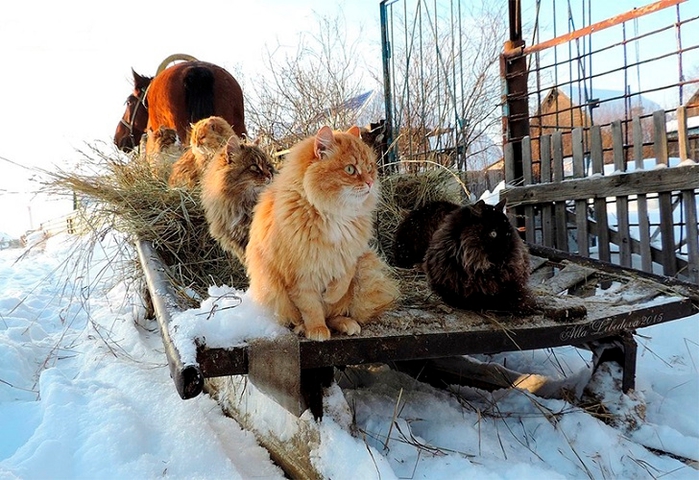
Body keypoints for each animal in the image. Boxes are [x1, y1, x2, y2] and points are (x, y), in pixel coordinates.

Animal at [246, 125, 400, 340]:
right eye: (350, 169)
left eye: (370, 167)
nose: (370, 182)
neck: (334, 213)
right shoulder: (301, 275)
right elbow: (311, 308)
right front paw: (316, 329)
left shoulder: (351, 256)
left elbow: (342, 283)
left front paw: (330, 295)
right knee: (302, 317)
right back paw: (304, 328)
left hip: (365, 272)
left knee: (335, 314)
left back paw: (347, 323)